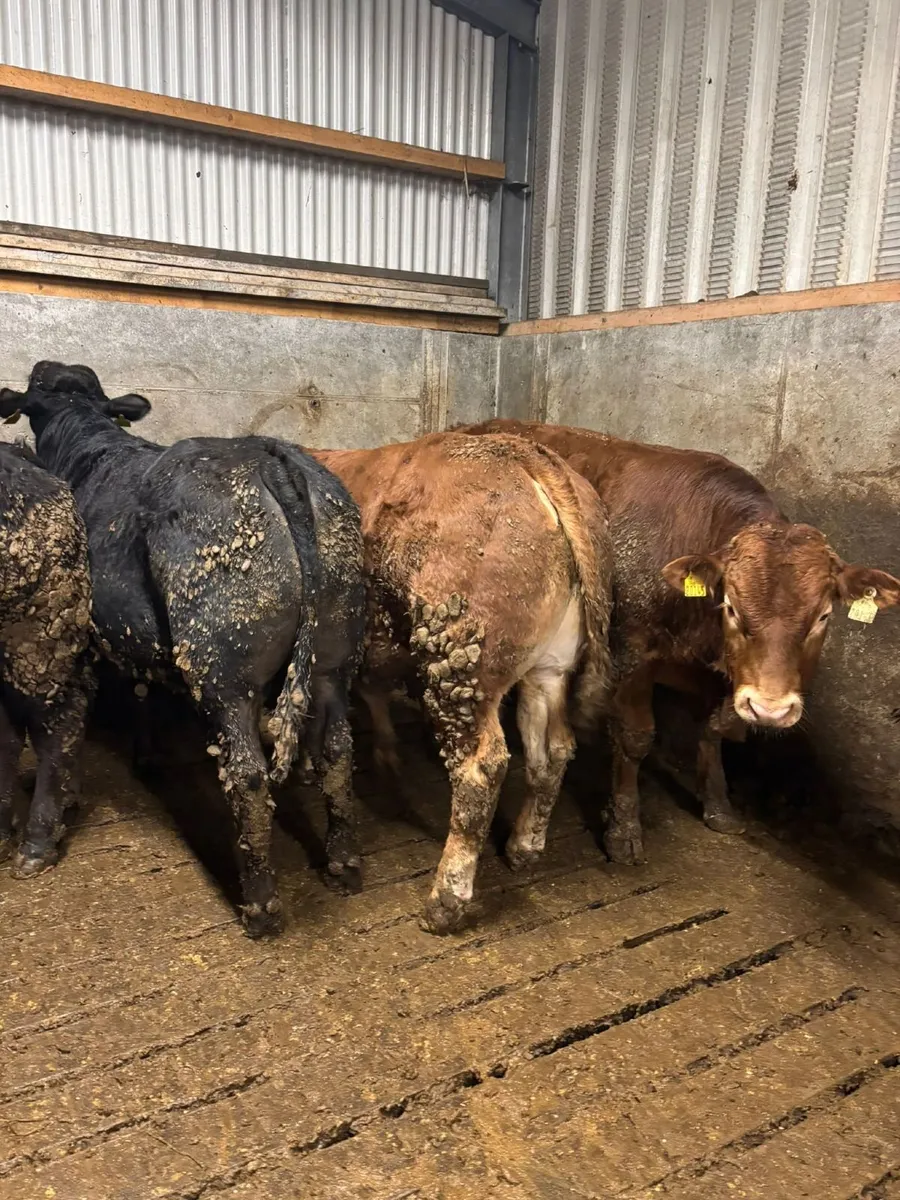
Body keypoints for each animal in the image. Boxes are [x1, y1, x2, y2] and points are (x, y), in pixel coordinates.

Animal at [0, 362, 365, 937]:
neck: (87, 444)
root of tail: (267, 455)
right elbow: (144, 693)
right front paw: (146, 755)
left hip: (222, 667)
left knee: (246, 774)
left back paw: (260, 906)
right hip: (334, 656)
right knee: (336, 750)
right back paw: (343, 864)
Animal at [312, 432, 614, 935]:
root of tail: (522, 453)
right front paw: (387, 758)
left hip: (459, 664)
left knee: (481, 767)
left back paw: (444, 901)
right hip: (548, 666)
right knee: (551, 748)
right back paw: (524, 847)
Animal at [458, 419, 900, 864]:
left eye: (823, 616)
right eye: (732, 607)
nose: (771, 710)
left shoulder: (723, 676)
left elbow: (715, 729)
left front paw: (718, 806)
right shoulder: (631, 652)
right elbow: (636, 736)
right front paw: (623, 829)